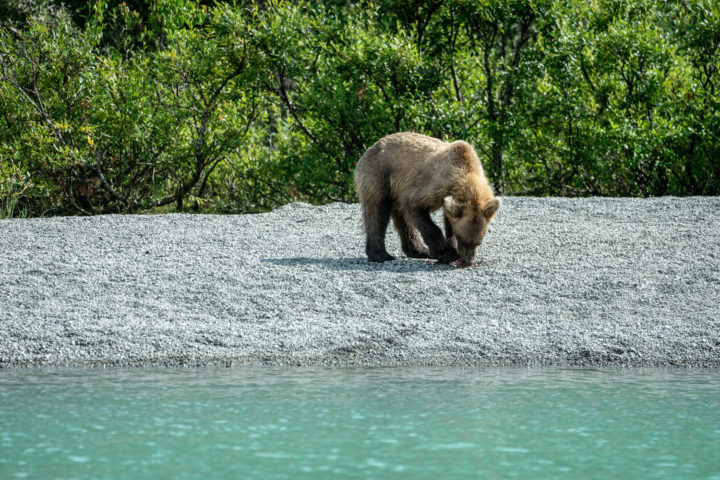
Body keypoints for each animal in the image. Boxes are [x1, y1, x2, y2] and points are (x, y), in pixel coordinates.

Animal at [354, 132, 501, 266]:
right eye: (462, 238)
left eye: (479, 242)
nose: (468, 261)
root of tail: (369, 149)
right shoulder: (435, 185)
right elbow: (415, 205)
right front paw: (447, 253)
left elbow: (449, 219)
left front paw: (452, 247)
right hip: (379, 175)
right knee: (377, 211)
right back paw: (380, 255)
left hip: (395, 188)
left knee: (403, 219)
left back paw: (419, 250)